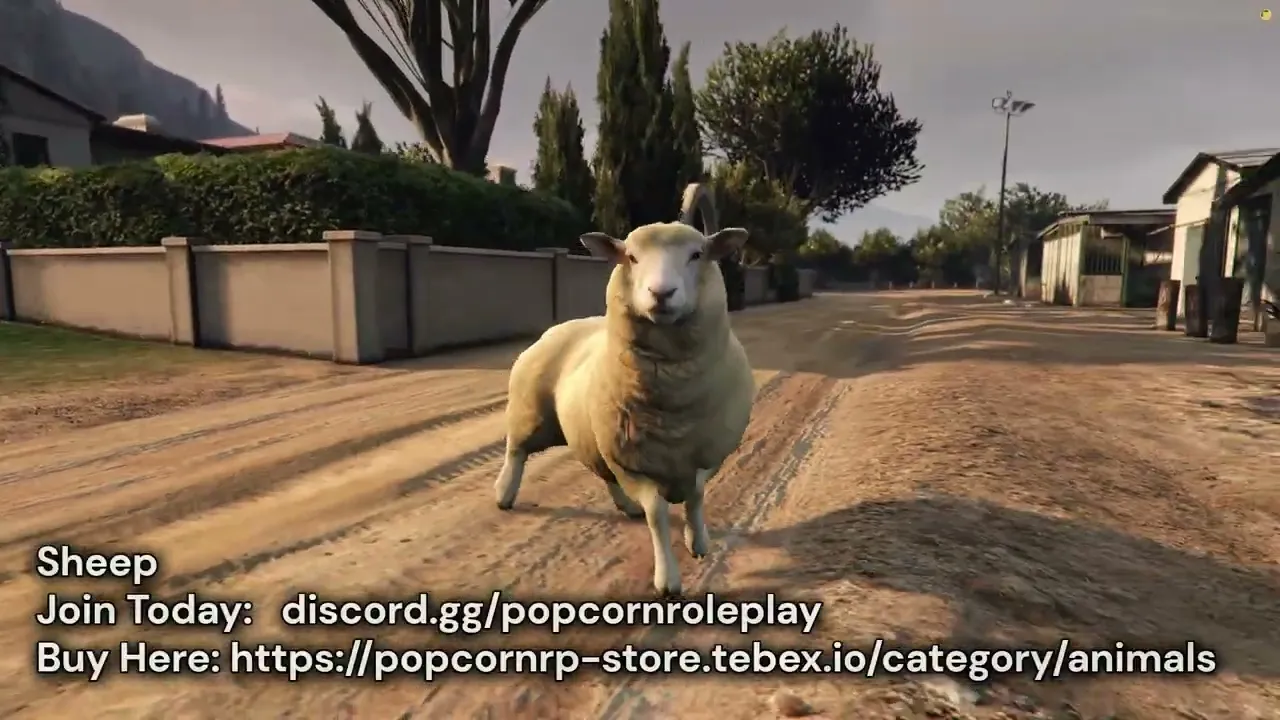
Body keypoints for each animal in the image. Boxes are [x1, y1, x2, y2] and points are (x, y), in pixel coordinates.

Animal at [493, 221, 756, 597]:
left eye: (697, 254)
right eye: (631, 257)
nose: (661, 293)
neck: (671, 408)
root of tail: (568, 323)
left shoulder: (707, 453)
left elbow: (696, 495)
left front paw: (698, 543)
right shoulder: (634, 465)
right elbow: (657, 515)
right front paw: (667, 580)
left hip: (596, 436)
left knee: (604, 475)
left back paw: (627, 508)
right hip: (531, 411)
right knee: (516, 451)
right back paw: (504, 493)